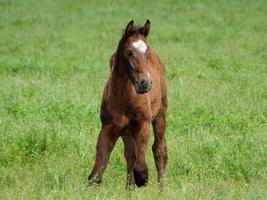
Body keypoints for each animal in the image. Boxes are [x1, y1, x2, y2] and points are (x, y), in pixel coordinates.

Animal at [89, 18, 169, 188]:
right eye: (129, 52)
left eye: (147, 52)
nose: (145, 83)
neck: (123, 98)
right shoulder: (109, 127)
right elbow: (96, 174)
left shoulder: (143, 123)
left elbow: (141, 166)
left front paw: (141, 180)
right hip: (126, 130)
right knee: (130, 154)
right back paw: (130, 188)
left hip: (160, 115)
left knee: (159, 150)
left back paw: (161, 189)